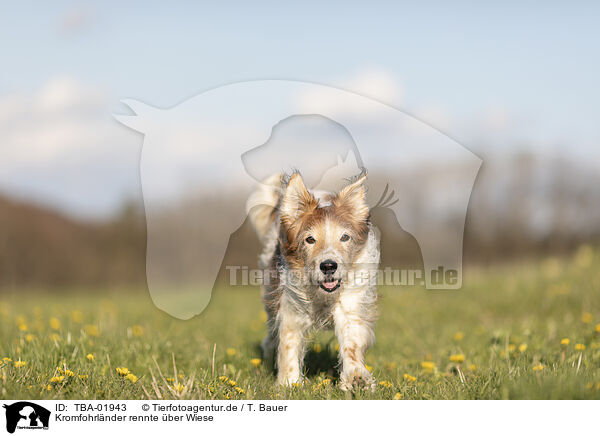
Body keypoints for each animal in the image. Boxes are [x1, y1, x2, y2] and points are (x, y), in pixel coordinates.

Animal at [247, 171, 380, 392]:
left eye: (345, 237)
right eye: (310, 239)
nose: (328, 266)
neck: (323, 296)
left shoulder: (349, 304)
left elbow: (351, 342)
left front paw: (356, 378)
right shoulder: (290, 306)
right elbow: (289, 344)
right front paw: (289, 383)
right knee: (272, 333)